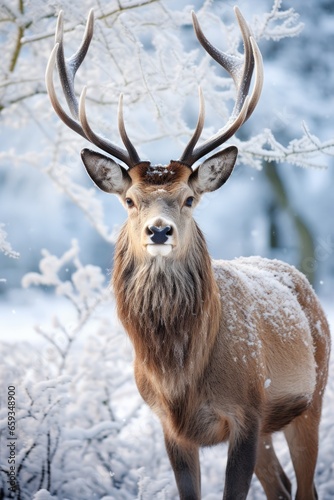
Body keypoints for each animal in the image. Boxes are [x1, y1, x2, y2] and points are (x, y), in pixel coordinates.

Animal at [45, 4, 330, 500]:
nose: (159, 231)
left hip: (311, 399)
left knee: (304, 487)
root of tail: (301, 282)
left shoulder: (246, 412)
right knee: (280, 486)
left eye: (190, 198)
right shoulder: (169, 425)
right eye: (130, 199)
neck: (179, 377)